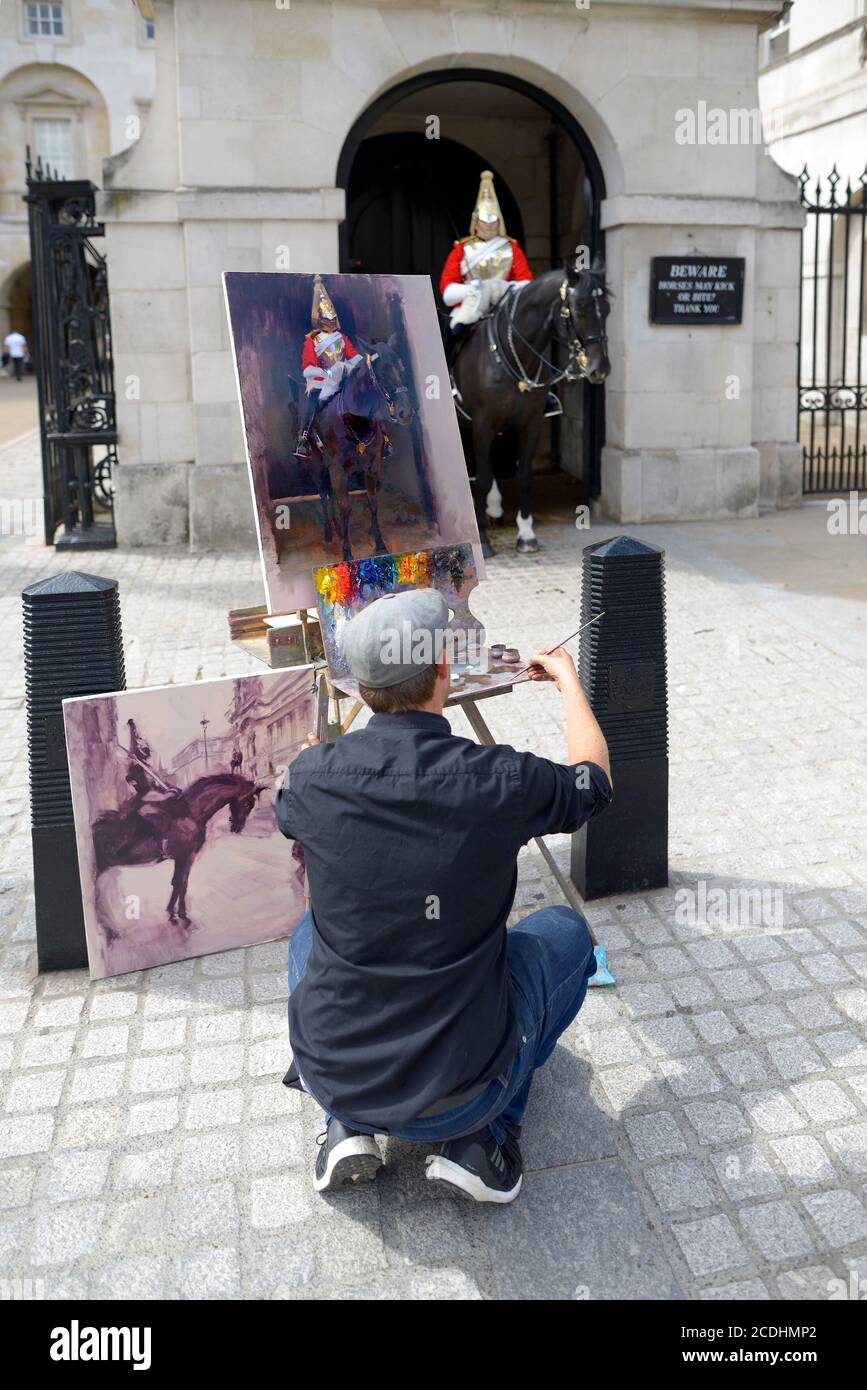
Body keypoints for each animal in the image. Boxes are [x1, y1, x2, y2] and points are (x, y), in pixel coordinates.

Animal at [90, 772, 268, 945]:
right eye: (248, 803)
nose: (237, 827)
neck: (191, 813)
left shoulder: (183, 857)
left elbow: (178, 883)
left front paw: (173, 914)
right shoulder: (186, 855)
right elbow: (181, 884)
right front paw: (180, 916)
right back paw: (110, 932)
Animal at [308, 330, 416, 558]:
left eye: (402, 367)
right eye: (382, 372)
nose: (406, 413)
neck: (357, 421)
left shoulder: (373, 465)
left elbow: (372, 501)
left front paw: (380, 542)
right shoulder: (338, 470)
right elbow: (345, 507)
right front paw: (347, 551)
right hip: (316, 466)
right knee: (323, 496)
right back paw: (329, 535)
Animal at [450, 252, 614, 556]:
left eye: (607, 309)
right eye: (580, 308)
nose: (600, 369)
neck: (515, 357)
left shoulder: (531, 423)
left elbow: (524, 476)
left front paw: (526, 534)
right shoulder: (482, 424)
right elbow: (482, 479)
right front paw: (483, 538)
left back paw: (495, 507)